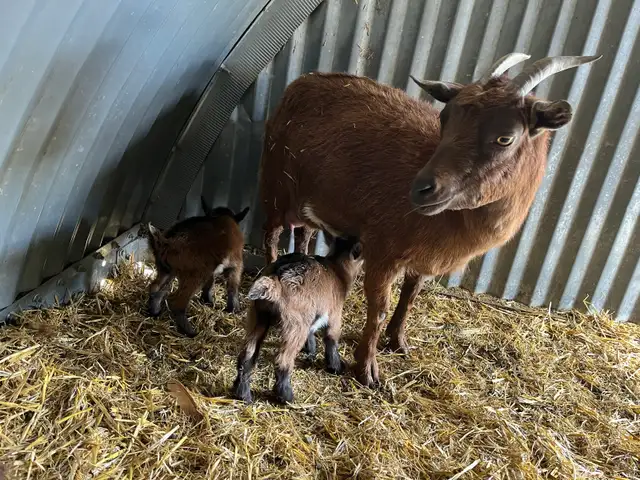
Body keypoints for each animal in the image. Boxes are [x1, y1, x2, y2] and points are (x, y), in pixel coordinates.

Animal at [146, 197, 249, 337]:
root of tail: (167, 242)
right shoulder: (236, 264)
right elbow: (233, 286)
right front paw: (234, 309)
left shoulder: (211, 268)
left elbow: (210, 283)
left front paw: (208, 301)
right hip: (196, 272)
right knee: (177, 301)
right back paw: (190, 332)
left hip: (167, 269)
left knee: (156, 287)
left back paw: (154, 311)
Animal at [232, 235, 363, 404]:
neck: (337, 270)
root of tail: (276, 281)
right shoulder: (334, 315)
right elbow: (331, 340)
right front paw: (335, 367)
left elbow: (311, 333)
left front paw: (311, 351)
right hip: (294, 324)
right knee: (282, 360)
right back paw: (286, 396)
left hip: (258, 315)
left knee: (247, 355)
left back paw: (243, 394)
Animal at [258, 53, 602, 387]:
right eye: (444, 119)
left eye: (506, 138)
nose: (422, 189)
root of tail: (301, 82)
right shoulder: (383, 250)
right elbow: (379, 308)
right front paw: (368, 371)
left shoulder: (425, 257)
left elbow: (410, 297)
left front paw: (399, 343)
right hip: (275, 185)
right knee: (271, 234)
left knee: (303, 234)